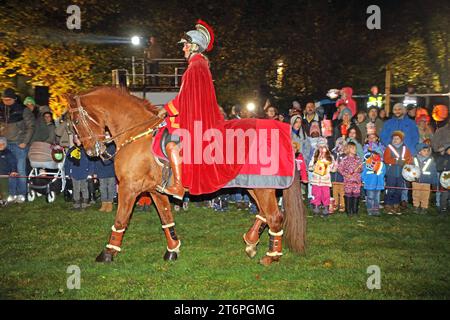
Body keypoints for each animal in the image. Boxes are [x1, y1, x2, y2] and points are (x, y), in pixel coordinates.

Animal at [66, 87, 306, 264]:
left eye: (75, 122)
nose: (91, 151)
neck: (137, 133)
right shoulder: (155, 191)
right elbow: (166, 219)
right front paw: (172, 249)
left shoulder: (128, 188)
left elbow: (120, 220)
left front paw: (108, 252)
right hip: (255, 186)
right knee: (265, 214)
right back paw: (251, 241)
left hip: (262, 188)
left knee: (274, 217)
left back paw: (271, 256)